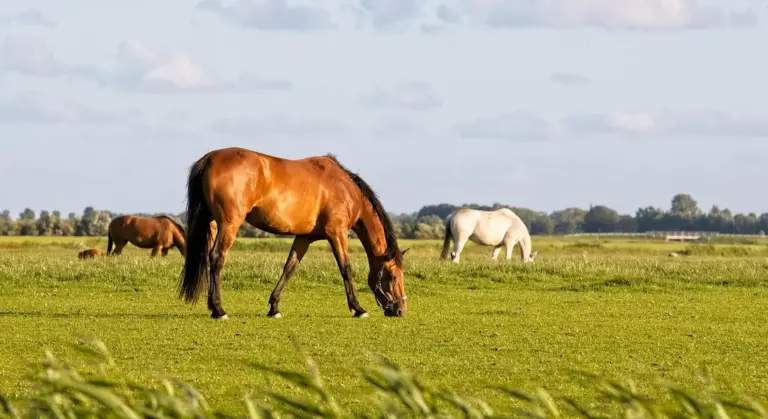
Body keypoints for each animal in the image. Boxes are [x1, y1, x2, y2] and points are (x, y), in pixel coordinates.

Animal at [178, 147, 409, 320]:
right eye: (393, 275)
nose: (400, 310)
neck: (344, 188)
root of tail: (209, 159)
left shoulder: (305, 237)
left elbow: (289, 267)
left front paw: (274, 308)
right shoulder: (337, 233)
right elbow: (345, 268)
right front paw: (358, 308)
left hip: (211, 223)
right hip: (229, 224)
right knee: (217, 258)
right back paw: (219, 310)